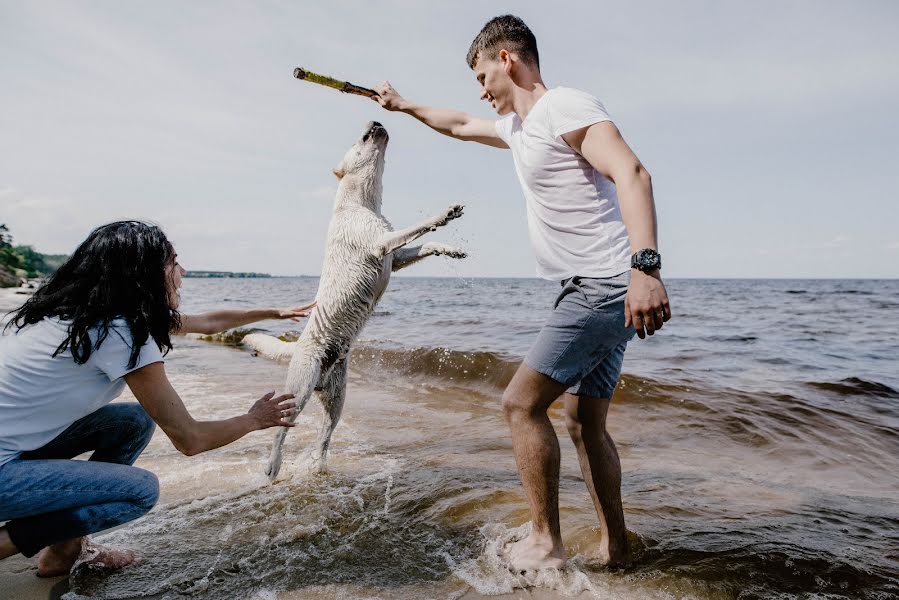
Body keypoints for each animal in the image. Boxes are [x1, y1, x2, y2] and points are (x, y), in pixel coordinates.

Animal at [246, 123, 468, 482]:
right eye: (357, 139)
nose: (375, 120)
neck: (361, 201)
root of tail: (298, 350)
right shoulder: (381, 243)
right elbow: (417, 228)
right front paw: (444, 214)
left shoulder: (395, 256)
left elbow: (423, 245)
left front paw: (449, 249)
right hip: (301, 387)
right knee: (281, 430)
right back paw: (273, 466)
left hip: (337, 399)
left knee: (324, 437)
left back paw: (319, 469)